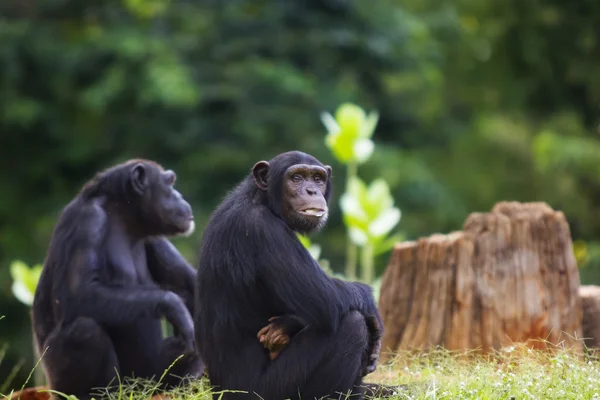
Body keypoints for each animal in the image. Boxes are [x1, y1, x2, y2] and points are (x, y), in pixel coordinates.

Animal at [33, 159, 206, 400]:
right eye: (169, 183)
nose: (179, 195)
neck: (123, 217)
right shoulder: (87, 221)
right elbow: (78, 293)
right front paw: (173, 306)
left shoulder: (156, 237)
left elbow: (191, 285)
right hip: (65, 387)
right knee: (85, 331)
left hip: (153, 381)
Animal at [193, 151, 398, 400]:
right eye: (297, 178)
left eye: (317, 179)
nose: (311, 191)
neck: (262, 200)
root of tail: (217, 391)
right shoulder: (264, 231)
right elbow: (326, 298)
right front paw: (373, 312)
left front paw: (287, 324)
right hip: (268, 391)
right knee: (352, 324)